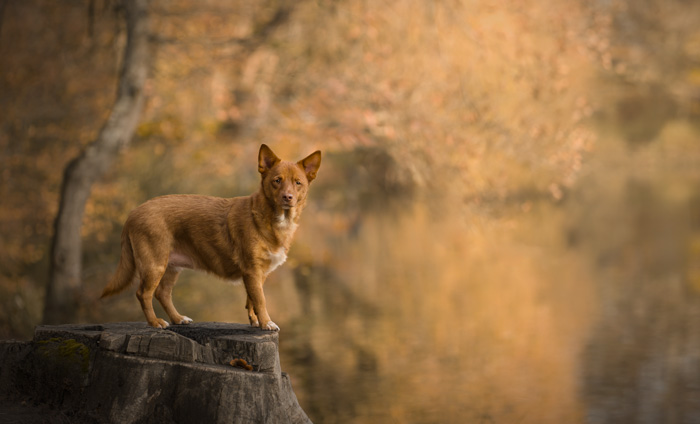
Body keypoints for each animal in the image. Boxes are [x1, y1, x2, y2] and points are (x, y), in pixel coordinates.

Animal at [100, 146, 322, 332]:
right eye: (277, 180)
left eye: (298, 183)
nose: (287, 197)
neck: (274, 220)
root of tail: (133, 212)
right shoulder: (252, 271)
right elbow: (261, 300)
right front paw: (266, 323)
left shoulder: (258, 274)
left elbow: (251, 300)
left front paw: (255, 322)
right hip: (154, 265)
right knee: (143, 294)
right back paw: (155, 322)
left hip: (171, 266)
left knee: (162, 293)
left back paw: (178, 319)